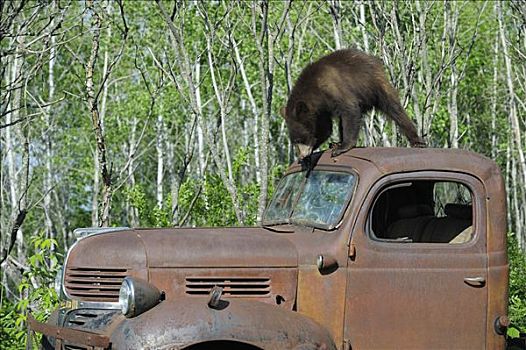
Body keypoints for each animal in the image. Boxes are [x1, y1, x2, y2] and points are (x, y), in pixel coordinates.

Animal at [282, 48, 426, 159]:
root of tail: (373, 59)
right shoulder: (321, 110)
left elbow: (349, 109)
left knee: (395, 109)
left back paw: (417, 141)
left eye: (299, 139)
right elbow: (326, 128)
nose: (301, 156)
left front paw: (343, 147)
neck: (314, 90)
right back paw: (337, 142)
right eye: (294, 141)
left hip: (375, 85)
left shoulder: (332, 88)